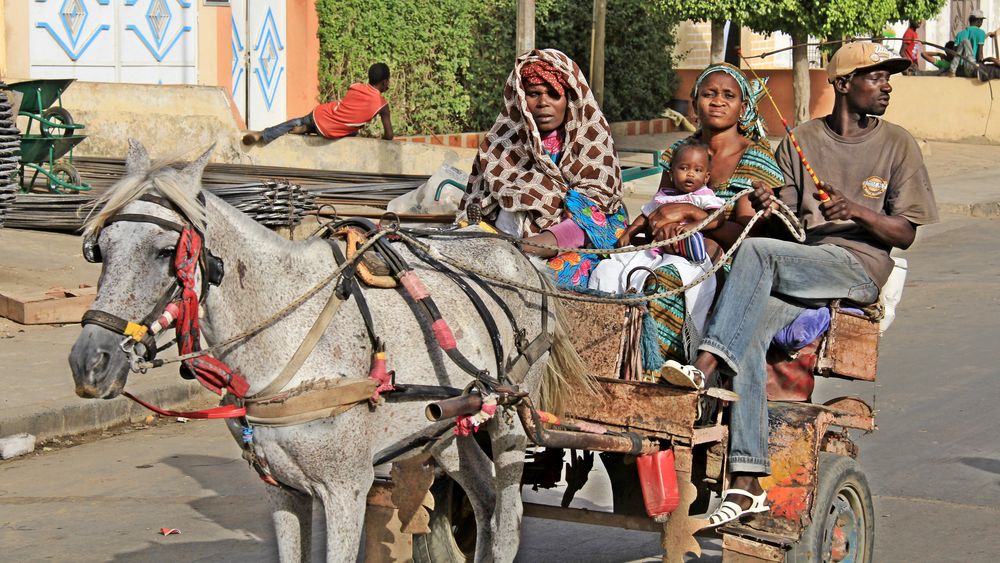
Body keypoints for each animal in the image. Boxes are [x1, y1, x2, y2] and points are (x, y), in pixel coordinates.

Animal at [68, 140, 584, 560]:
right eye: (99, 249)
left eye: (163, 251)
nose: (89, 363)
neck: (286, 342)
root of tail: (520, 253)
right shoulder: (281, 490)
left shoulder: (346, 489)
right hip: (447, 423)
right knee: (483, 495)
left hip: (510, 412)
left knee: (506, 519)